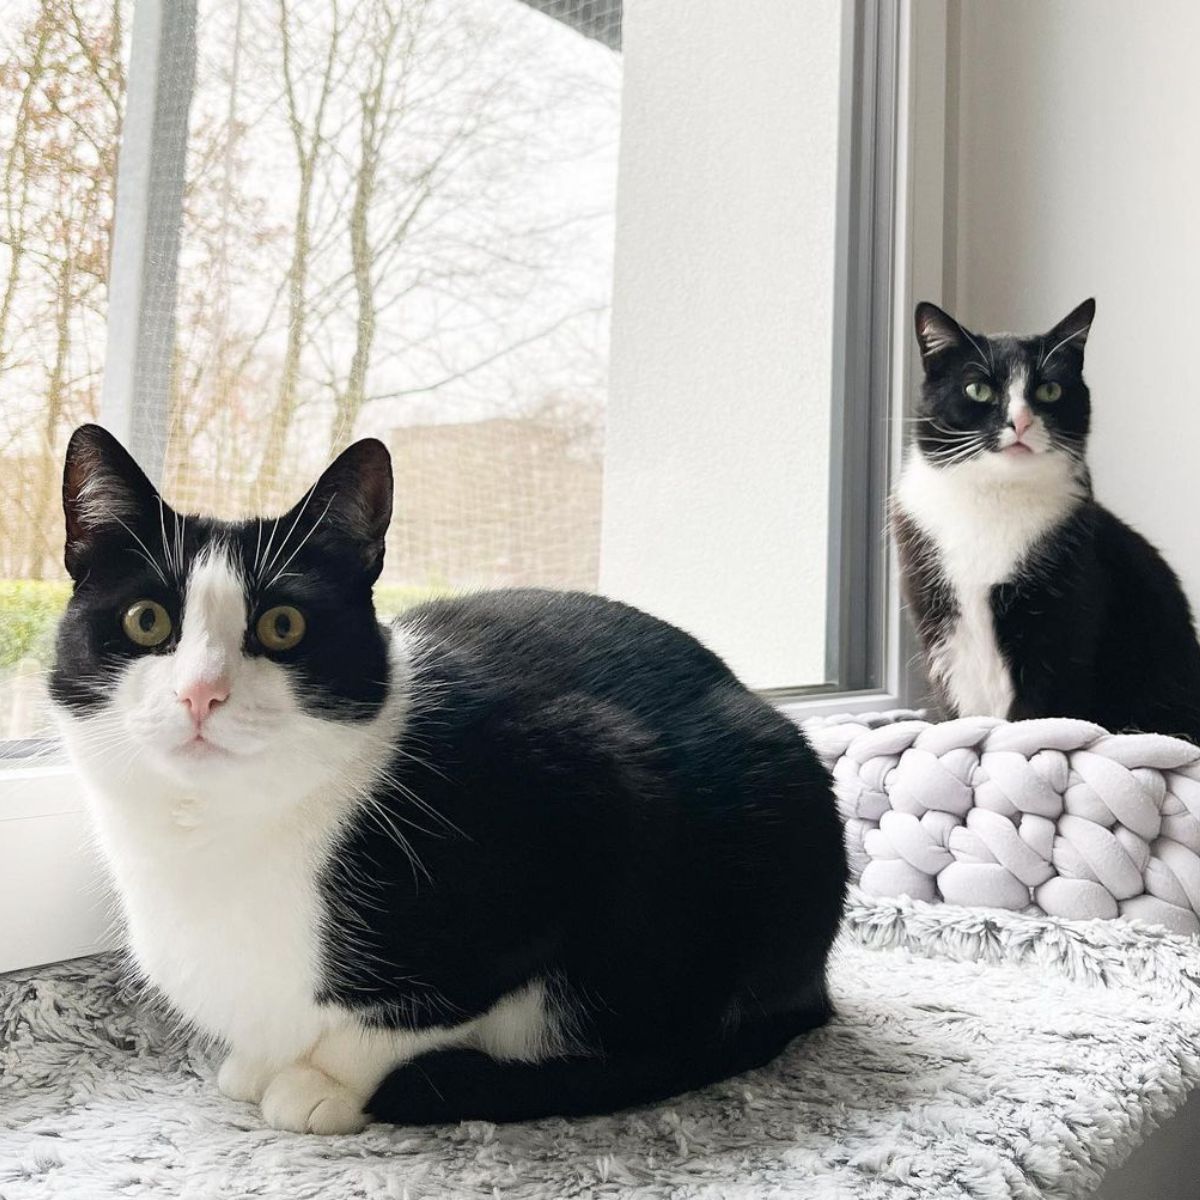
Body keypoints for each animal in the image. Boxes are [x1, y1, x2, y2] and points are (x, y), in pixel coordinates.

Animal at [51, 424, 844, 1132]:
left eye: (282, 626)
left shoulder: (585, 787)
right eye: (147, 620)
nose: (200, 694)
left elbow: (416, 1009)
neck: (214, 829)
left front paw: (322, 1082)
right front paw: (257, 1063)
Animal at [897, 297, 1200, 739]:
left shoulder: (1064, 622)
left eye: (1049, 390)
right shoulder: (941, 627)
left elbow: (1041, 709)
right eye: (977, 389)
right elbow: (960, 706)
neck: (995, 497)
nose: (1021, 421)